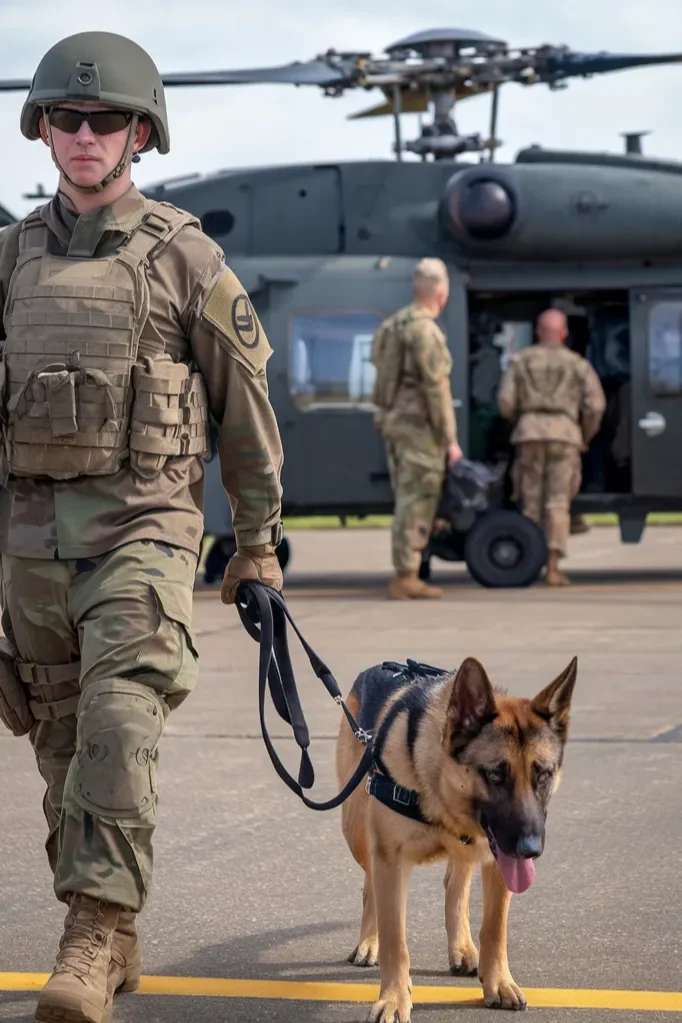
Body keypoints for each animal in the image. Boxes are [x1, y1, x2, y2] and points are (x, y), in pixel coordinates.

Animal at [335, 650, 576, 1018]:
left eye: (544, 774)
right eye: (495, 775)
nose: (531, 850)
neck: (439, 792)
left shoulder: (497, 861)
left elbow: (494, 929)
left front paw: (499, 983)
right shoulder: (390, 861)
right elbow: (395, 941)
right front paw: (394, 999)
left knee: (455, 886)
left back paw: (461, 947)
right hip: (359, 836)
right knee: (370, 887)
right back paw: (368, 941)